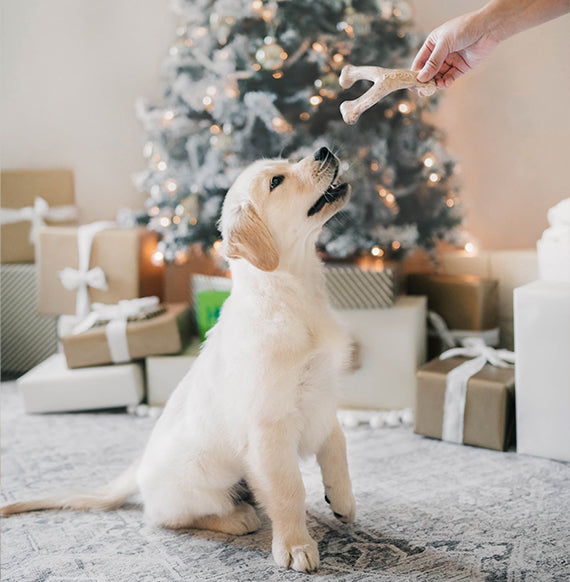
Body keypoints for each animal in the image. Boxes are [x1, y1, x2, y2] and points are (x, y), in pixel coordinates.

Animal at [1, 148, 356, 576]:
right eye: (276, 181)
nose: (324, 150)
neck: (294, 295)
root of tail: (138, 472)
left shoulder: (324, 399)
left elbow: (337, 450)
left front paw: (342, 500)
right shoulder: (270, 427)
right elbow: (289, 490)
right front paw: (295, 545)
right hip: (202, 477)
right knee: (166, 516)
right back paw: (237, 518)